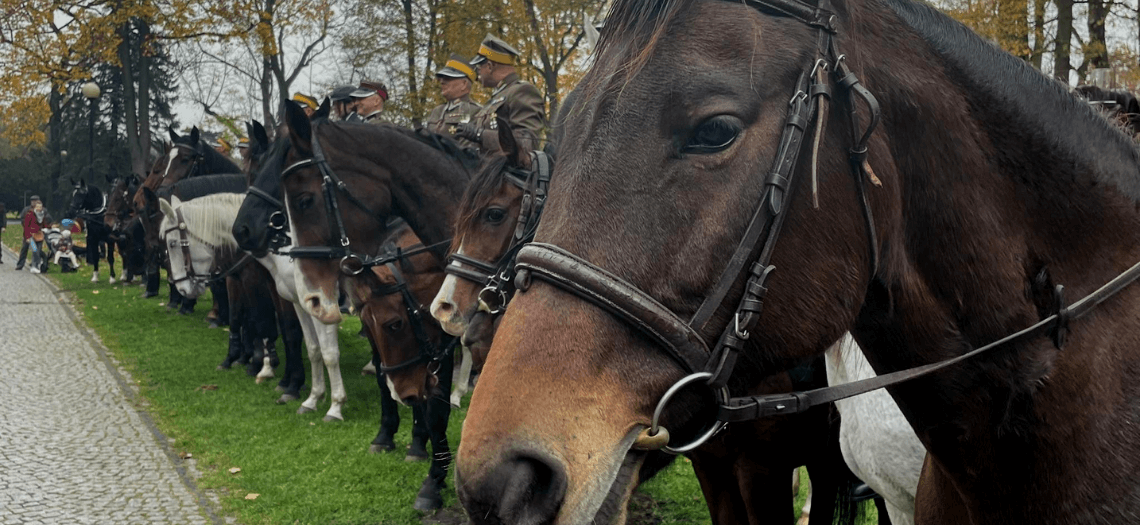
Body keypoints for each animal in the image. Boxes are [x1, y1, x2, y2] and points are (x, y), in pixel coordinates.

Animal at [158, 194, 348, 419]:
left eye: (172, 243)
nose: (182, 289)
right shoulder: (271, 289)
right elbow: (256, 324)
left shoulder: (310, 302)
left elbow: (293, 335)